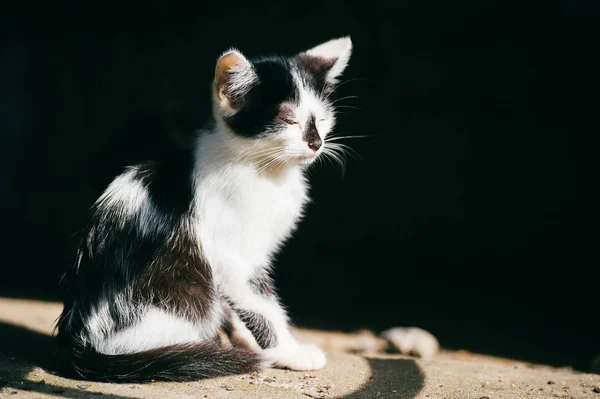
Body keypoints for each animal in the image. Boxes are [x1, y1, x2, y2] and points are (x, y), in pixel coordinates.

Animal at [54, 38, 354, 384]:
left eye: (322, 119)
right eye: (289, 120)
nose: (316, 144)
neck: (265, 172)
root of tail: (75, 340)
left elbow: (237, 305)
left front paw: (247, 338)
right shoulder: (234, 256)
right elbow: (262, 305)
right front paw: (290, 351)